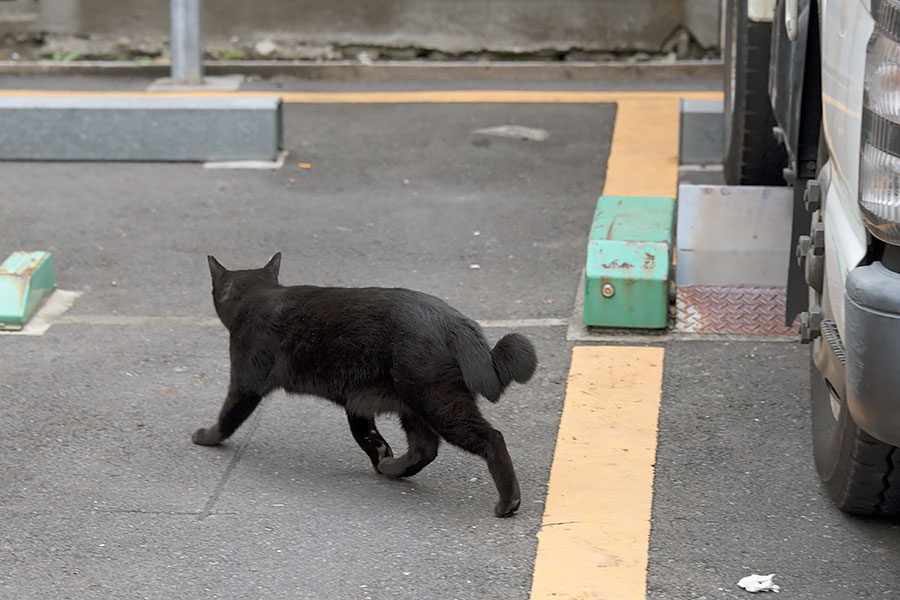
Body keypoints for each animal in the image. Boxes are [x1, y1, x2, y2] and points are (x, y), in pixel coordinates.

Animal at [192, 252, 536, 516]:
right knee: (424, 448)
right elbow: (367, 436)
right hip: (413, 405)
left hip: (438, 402)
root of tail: (455, 321)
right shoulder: (357, 401)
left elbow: (227, 418)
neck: (259, 297)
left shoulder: (245, 383)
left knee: (491, 438)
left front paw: (206, 437)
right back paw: (392, 468)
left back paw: (508, 503)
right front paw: (381, 456)